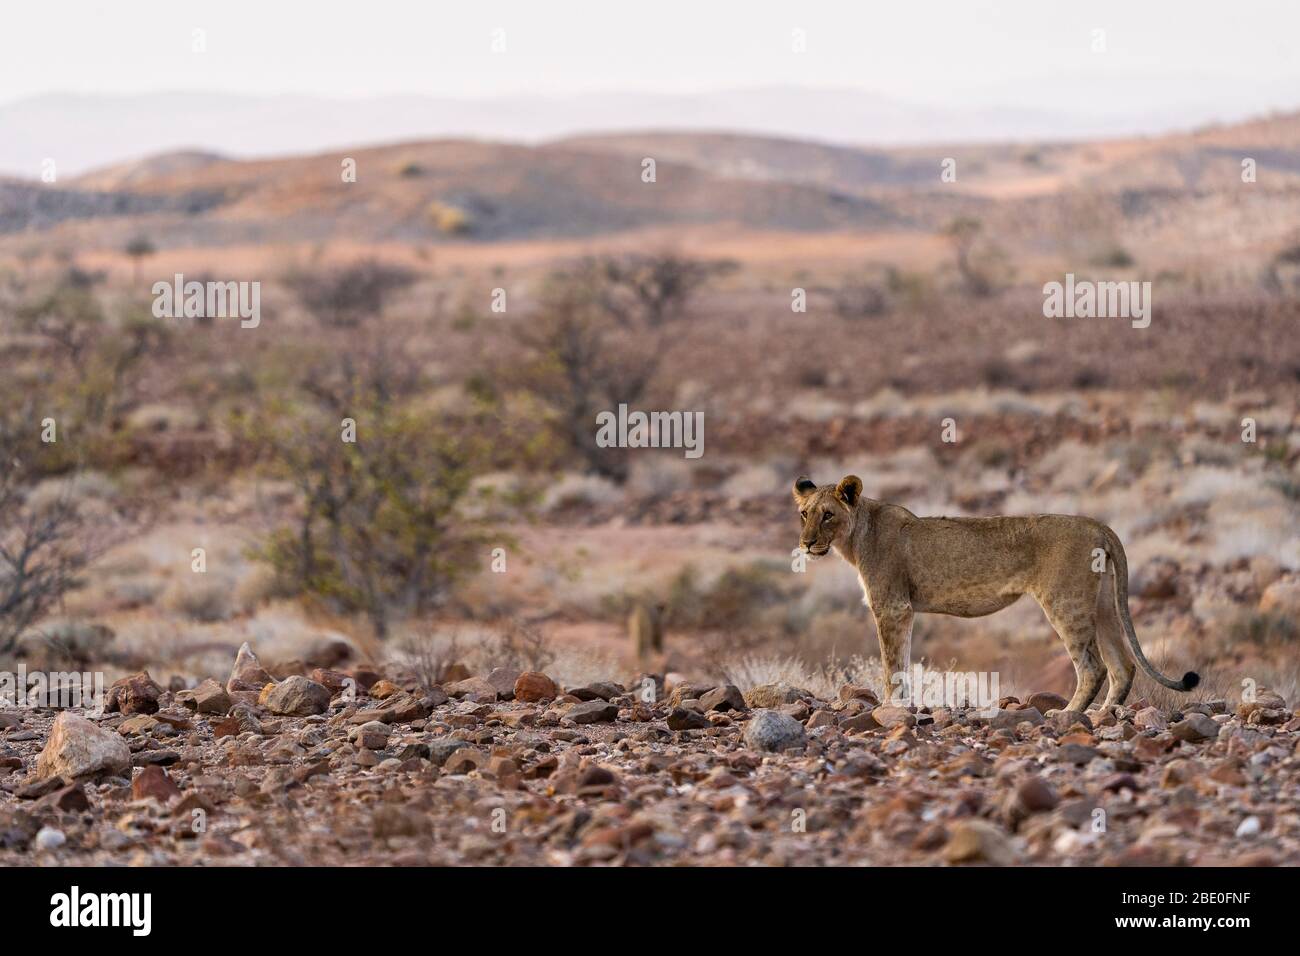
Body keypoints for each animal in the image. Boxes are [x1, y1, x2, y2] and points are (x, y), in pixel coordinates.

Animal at [790, 476, 1196, 712]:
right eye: (804, 514)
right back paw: (1103, 717)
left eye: (828, 515)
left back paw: (1065, 715)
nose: (806, 543)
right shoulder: (902, 610)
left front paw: (889, 709)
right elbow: (901, 661)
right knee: (1122, 666)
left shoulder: (891, 607)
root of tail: (1098, 525)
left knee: (1093, 667)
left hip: (1065, 602)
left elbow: (892, 666)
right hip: (1102, 604)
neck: (857, 535)